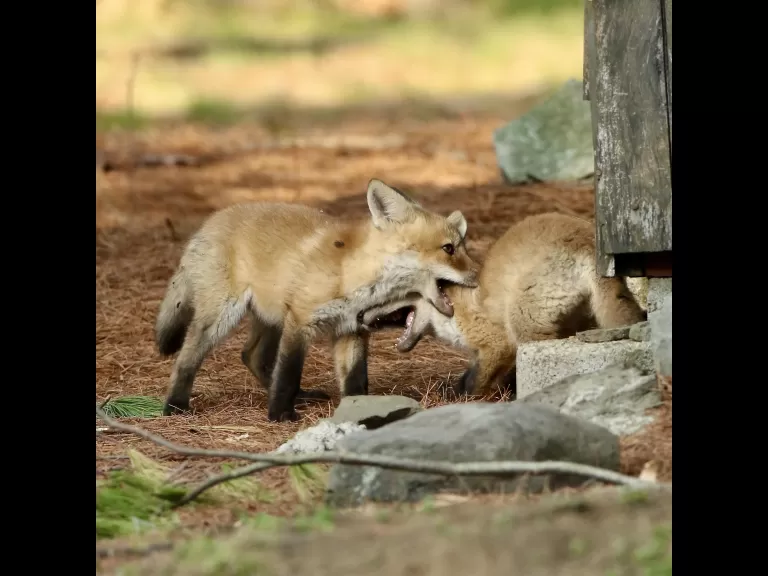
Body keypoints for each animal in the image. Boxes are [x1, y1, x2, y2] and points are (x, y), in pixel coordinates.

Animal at [154, 178, 479, 422]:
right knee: (186, 359)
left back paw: (299, 396)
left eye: (463, 247)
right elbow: (288, 373)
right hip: (222, 316)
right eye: (448, 249)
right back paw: (175, 405)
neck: (353, 273)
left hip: (271, 316)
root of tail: (209, 222)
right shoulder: (301, 320)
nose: (478, 275)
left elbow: (355, 380)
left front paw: (360, 410)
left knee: (252, 355)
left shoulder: (350, 329)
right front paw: (280, 415)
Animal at [358, 212, 646, 397]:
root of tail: (587, 241)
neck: (454, 307)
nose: (360, 315)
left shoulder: (498, 343)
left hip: (523, 321)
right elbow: (470, 378)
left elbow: (476, 385)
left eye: (389, 295)